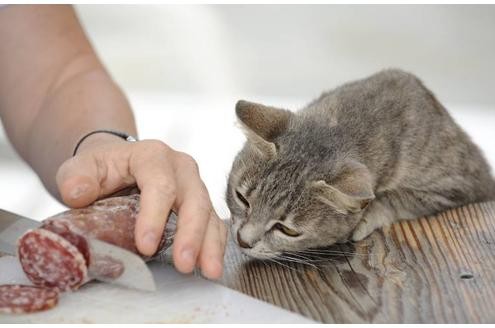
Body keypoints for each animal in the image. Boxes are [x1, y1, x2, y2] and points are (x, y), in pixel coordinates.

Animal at [228, 68, 495, 258]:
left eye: (288, 230)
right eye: (242, 198)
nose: (243, 241)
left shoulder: (460, 184)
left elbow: (396, 198)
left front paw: (364, 217)